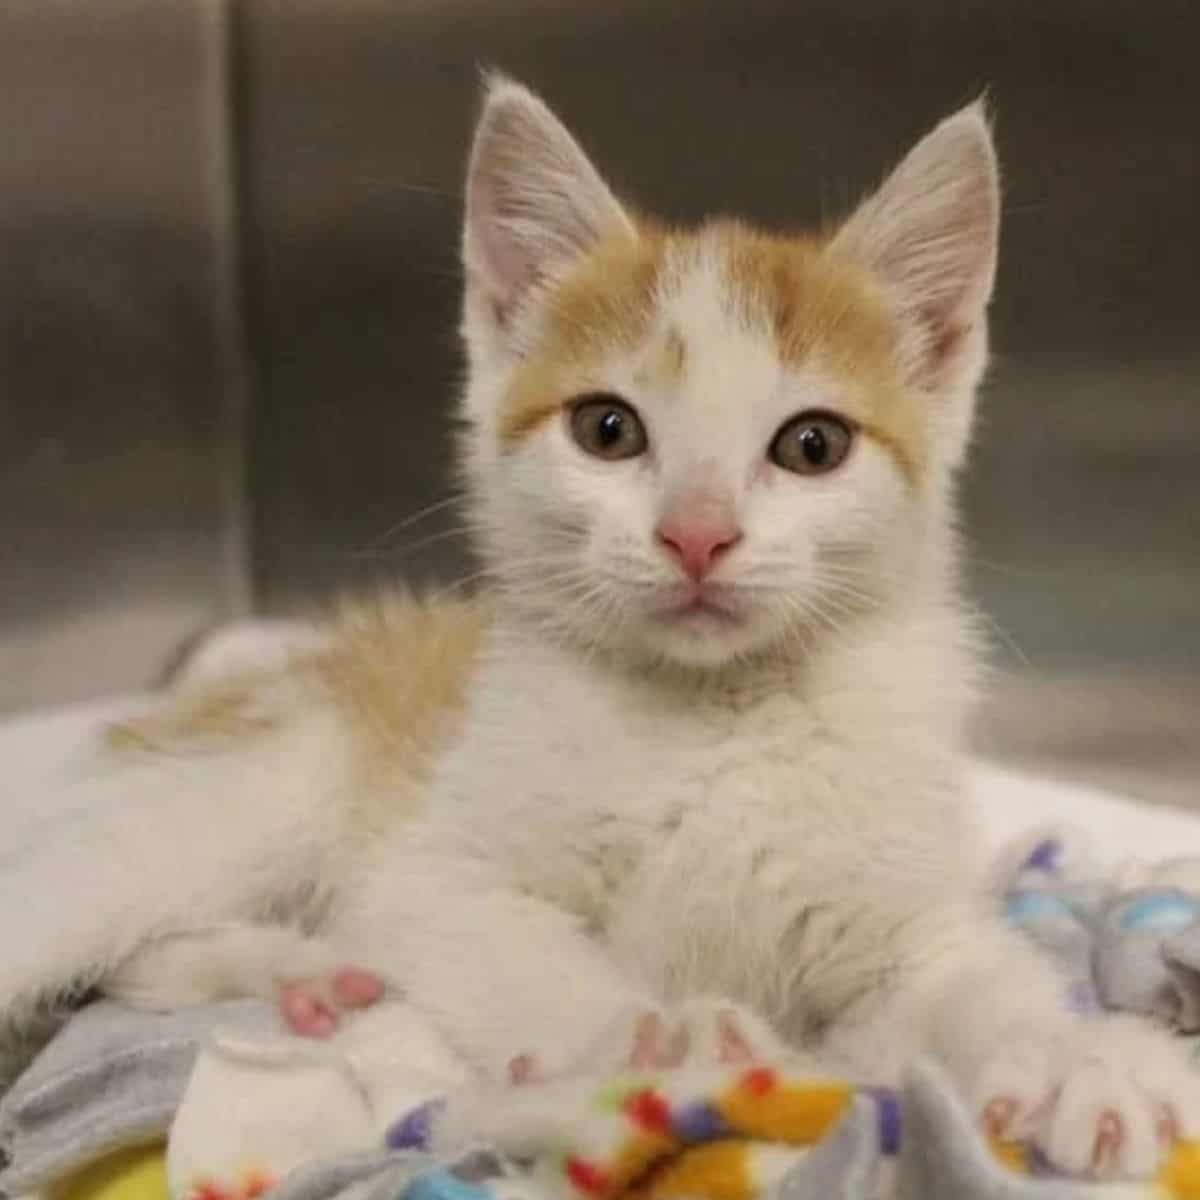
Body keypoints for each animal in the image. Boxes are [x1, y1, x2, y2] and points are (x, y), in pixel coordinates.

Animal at [4, 79, 1195, 1176]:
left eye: (813, 445)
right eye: (607, 429)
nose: (698, 535)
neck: (715, 708)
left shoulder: (905, 917)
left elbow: (975, 978)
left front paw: (1087, 1061)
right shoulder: (441, 874)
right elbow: (525, 954)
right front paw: (668, 1045)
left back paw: (302, 981)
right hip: (224, 800)